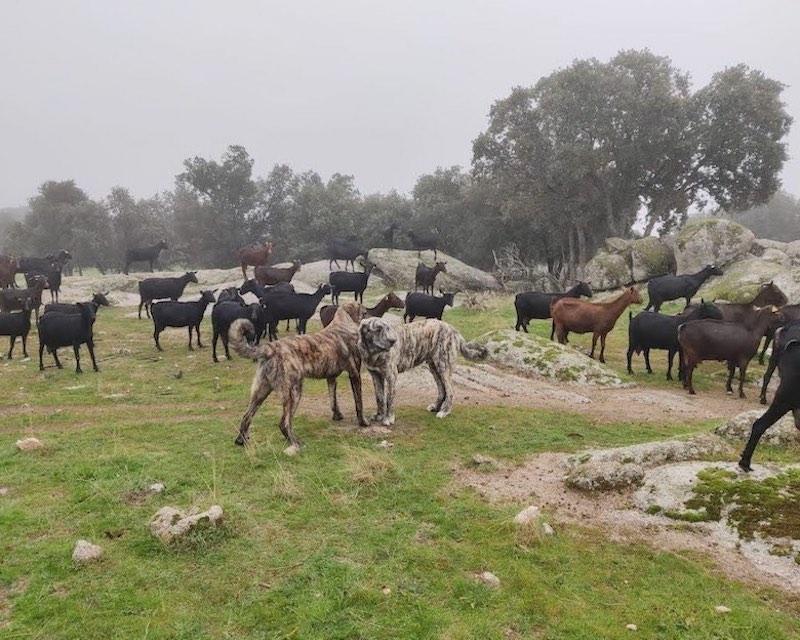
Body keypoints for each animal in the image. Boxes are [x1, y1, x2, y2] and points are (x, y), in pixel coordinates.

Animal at [358, 318, 488, 428]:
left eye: (388, 328)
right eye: (378, 329)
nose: (393, 341)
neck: (373, 353)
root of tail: (453, 329)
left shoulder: (391, 376)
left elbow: (389, 399)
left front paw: (388, 418)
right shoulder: (375, 375)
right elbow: (379, 397)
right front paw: (379, 415)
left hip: (443, 366)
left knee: (450, 391)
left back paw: (445, 411)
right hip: (434, 368)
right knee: (442, 389)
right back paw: (436, 406)